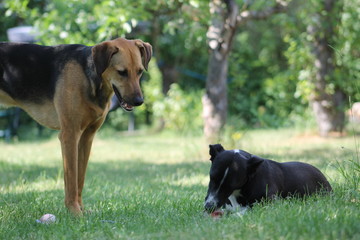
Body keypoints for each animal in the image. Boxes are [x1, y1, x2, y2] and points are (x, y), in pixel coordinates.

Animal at [0, 38, 152, 216]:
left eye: (140, 71)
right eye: (122, 72)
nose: (139, 101)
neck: (90, 79)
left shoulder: (87, 137)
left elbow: (80, 178)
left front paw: (81, 209)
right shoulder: (70, 135)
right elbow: (71, 179)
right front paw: (74, 212)